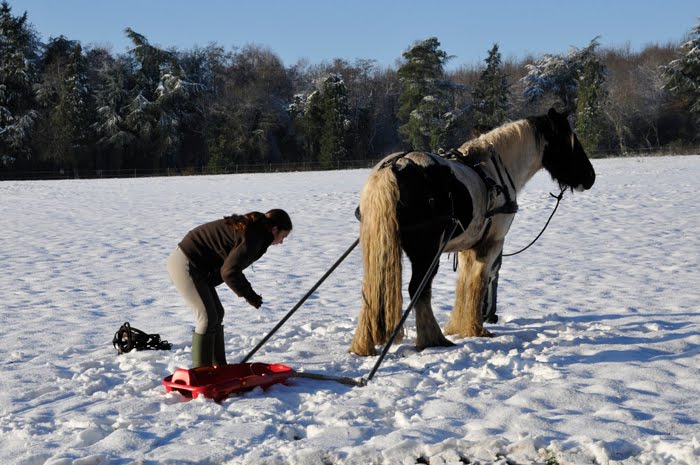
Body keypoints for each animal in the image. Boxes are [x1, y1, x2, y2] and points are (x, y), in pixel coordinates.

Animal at [350, 109, 596, 356]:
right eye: (569, 141)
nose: (590, 177)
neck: (494, 171)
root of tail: (394, 167)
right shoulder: (490, 244)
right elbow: (479, 282)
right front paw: (475, 328)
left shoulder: (468, 247)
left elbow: (464, 284)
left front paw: (459, 325)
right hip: (427, 252)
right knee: (419, 289)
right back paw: (432, 338)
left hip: (382, 245)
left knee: (371, 290)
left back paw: (365, 342)